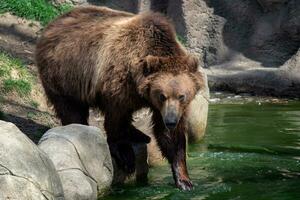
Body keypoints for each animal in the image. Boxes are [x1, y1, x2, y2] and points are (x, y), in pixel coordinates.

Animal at [35, 5, 204, 191]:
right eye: (162, 95)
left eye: (182, 96)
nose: (171, 121)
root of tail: (53, 23)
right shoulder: (118, 84)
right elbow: (116, 118)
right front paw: (125, 155)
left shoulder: (166, 107)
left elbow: (171, 138)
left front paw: (184, 180)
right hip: (65, 73)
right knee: (71, 108)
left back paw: (140, 134)